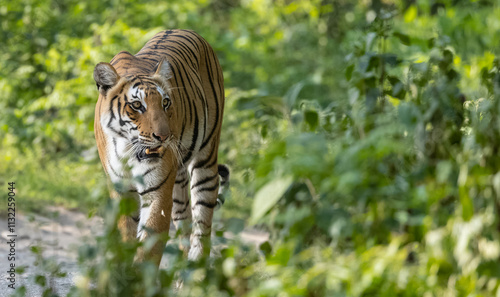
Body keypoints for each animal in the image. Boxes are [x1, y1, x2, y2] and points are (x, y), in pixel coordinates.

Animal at [93, 28, 229, 264]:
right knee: (184, 220)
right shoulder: (121, 190)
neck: (127, 149)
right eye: (136, 105)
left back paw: (196, 269)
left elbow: (148, 250)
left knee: (202, 219)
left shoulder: (157, 192)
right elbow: (126, 241)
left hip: (206, 158)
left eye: (165, 103)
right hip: (178, 182)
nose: (164, 136)